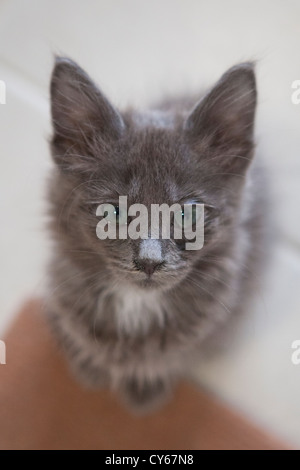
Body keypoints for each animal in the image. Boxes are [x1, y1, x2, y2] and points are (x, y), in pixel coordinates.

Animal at [45, 57, 266, 412]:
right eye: (113, 212)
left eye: (188, 213)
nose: (149, 261)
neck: (137, 305)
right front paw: (89, 366)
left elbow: (172, 357)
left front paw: (145, 387)